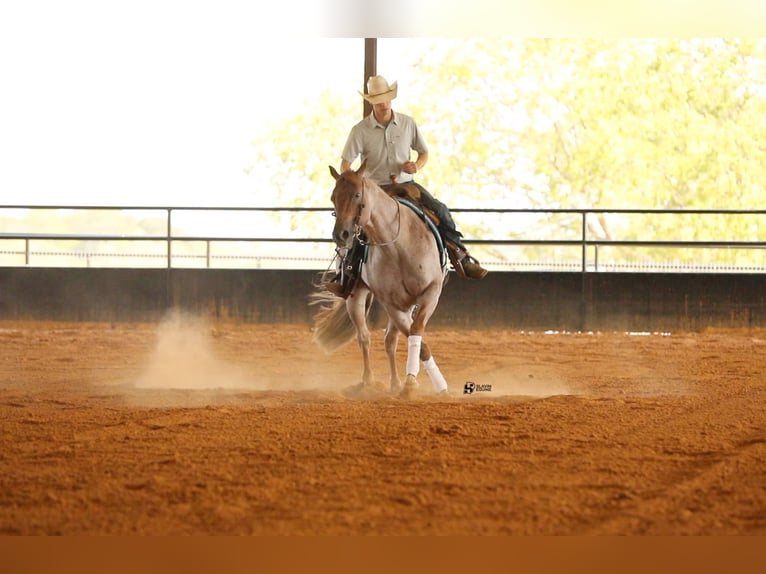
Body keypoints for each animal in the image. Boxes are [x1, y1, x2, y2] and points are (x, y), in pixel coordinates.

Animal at [312, 160, 452, 398]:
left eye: (357, 194)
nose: (341, 235)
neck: (399, 246)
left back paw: (394, 383)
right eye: (333, 197)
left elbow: (415, 333)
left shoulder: (430, 292)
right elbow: (414, 339)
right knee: (365, 337)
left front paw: (426, 384)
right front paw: (411, 384)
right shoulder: (391, 303)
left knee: (390, 341)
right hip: (356, 297)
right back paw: (368, 382)